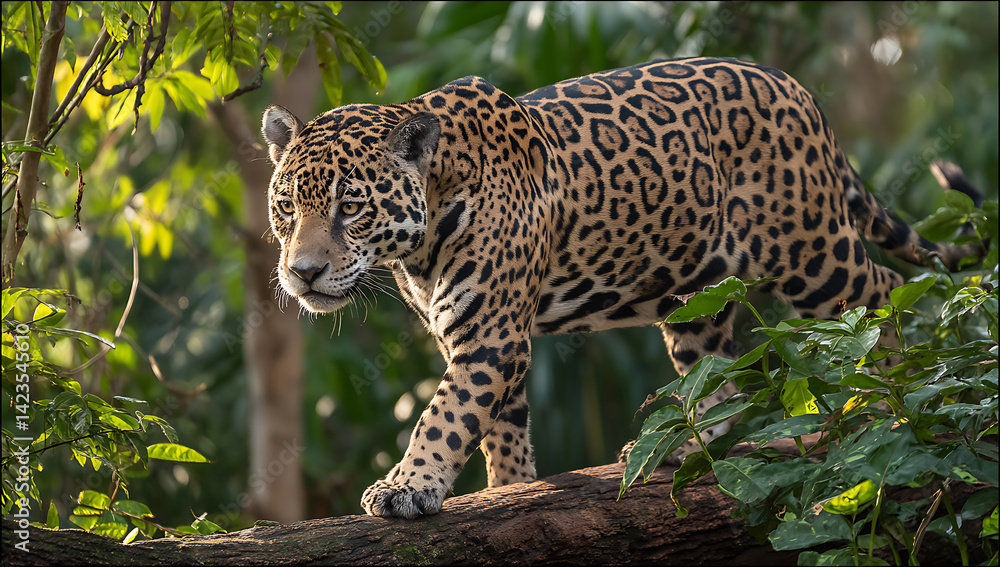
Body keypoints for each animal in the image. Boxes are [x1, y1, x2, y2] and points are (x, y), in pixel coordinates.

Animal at [260, 57, 984, 519]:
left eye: (352, 207)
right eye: (288, 207)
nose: (302, 273)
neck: (421, 237)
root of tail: (798, 90)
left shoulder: (489, 334)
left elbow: (445, 415)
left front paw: (407, 485)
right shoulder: (479, 333)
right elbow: (498, 425)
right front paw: (508, 490)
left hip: (812, 250)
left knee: (884, 287)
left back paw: (893, 401)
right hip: (696, 291)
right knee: (713, 374)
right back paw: (680, 446)